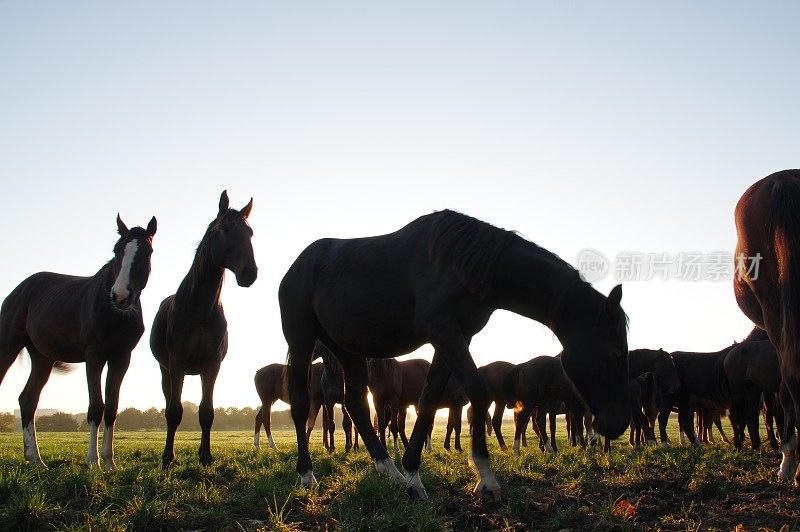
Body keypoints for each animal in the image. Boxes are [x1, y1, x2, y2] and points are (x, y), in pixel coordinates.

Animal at [150, 192, 256, 470]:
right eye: (226, 229)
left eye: (250, 232)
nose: (250, 273)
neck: (199, 310)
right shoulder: (176, 363)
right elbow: (174, 411)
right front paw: (167, 458)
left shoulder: (212, 365)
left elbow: (206, 412)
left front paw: (206, 456)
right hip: (166, 370)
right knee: (169, 402)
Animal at [278, 210, 628, 500]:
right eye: (614, 353)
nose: (617, 424)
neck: (464, 262)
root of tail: (298, 265)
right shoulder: (443, 330)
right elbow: (477, 389)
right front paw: (486, 478)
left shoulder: (456, 336)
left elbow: (429, 400)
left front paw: (413, 475)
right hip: (302, 341)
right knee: (301, 404)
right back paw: (308, 477)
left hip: (348, 350)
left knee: (355, 404)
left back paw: (391, 473)